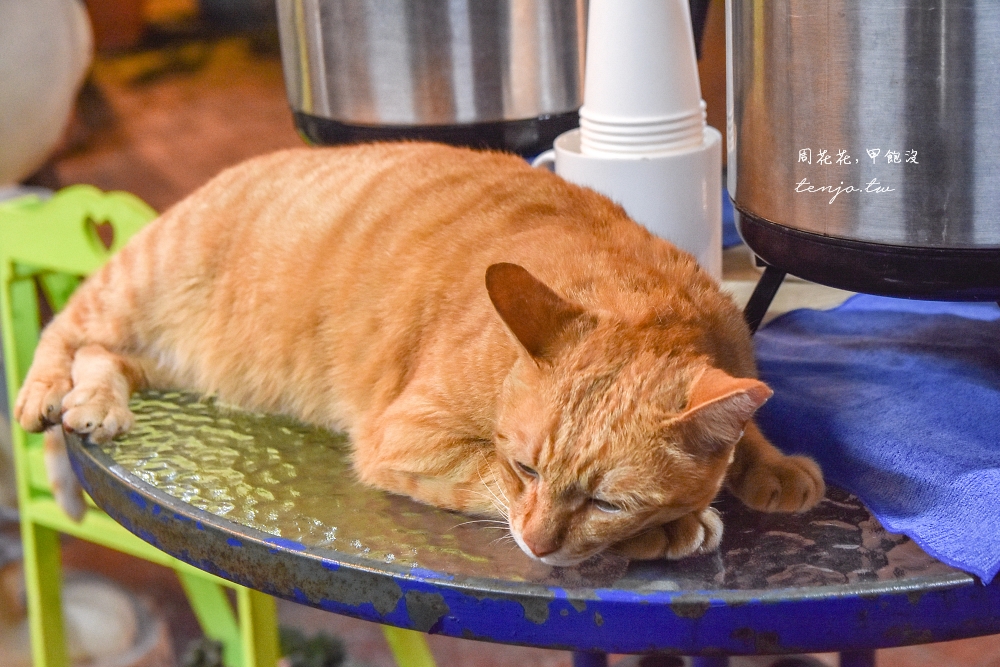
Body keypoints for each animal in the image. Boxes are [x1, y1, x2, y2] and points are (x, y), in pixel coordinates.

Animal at [15, 144, 824, 568]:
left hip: (174, 360)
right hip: (134, 286)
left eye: (606, 500)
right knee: (70, 328)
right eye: (525, 468)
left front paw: (773, 466)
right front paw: (674, 529)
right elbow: (484, 484)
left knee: (105, 356)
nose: (535, 546)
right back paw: (49, 395)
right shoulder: (408, 439)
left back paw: (95, 406)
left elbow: (746, 421)